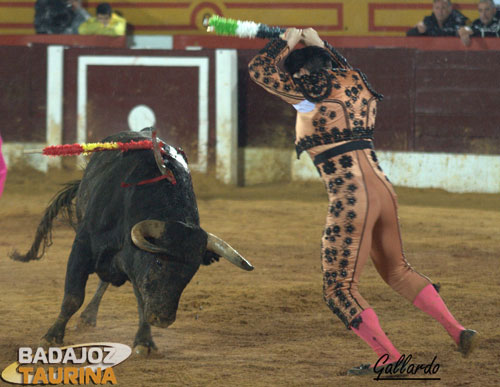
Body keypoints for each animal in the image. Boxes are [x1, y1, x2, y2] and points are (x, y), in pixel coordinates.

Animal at [10, 130, 254, 354]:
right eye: (159, 261)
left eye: (192, 271)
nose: (163, 318)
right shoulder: (82, 247)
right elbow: (73, 297)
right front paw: (51, 337)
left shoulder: (135, 266)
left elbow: (141, 300)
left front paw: (144, 342)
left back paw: (89, 316)